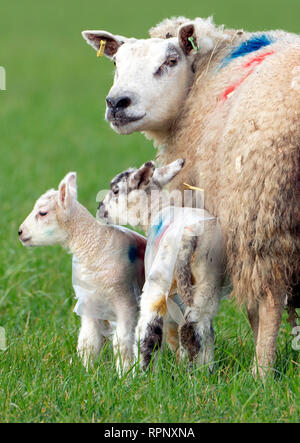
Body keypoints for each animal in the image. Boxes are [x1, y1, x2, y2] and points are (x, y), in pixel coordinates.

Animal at [17, 172, 146, 372]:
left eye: (42, 213)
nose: (20, 232)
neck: (92, 242)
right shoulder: (90, 303)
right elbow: (88, 342)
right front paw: (86, 371)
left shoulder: (126, 303)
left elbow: (122, 342)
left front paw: (125, 374)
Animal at [82, 16, 300, 374]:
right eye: (115, 63)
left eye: (170, 62)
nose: (117, 103)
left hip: (264, 210)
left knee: (268, 298)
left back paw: (261, 372)